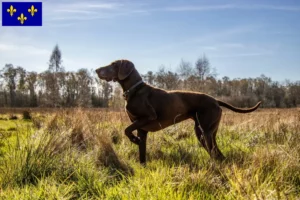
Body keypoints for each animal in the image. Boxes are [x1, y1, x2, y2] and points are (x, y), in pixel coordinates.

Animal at [95, 60, 260, 165]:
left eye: (113, 64)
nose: (96, 70)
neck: (134, 90)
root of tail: (216, 101)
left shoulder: (148, 117)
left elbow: (126, 130)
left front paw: (134, 139)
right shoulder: (142, 129)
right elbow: (141, 152)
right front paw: (142, 165)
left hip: (204, 131)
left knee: (213, 153)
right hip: (206, 132)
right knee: (217, 153)